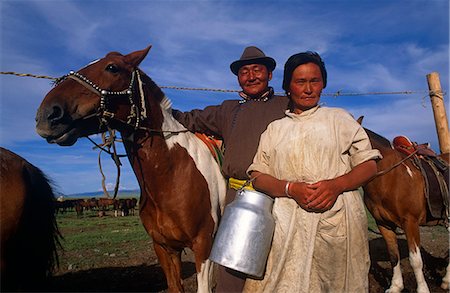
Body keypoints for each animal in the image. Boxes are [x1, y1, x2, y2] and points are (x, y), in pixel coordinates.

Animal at [364, 122, 448, 290]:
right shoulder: (383, 224)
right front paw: (396, 286)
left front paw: (423, 289)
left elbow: (415, 261)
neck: (390, 177)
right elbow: (393, 255)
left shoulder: (410, 222)